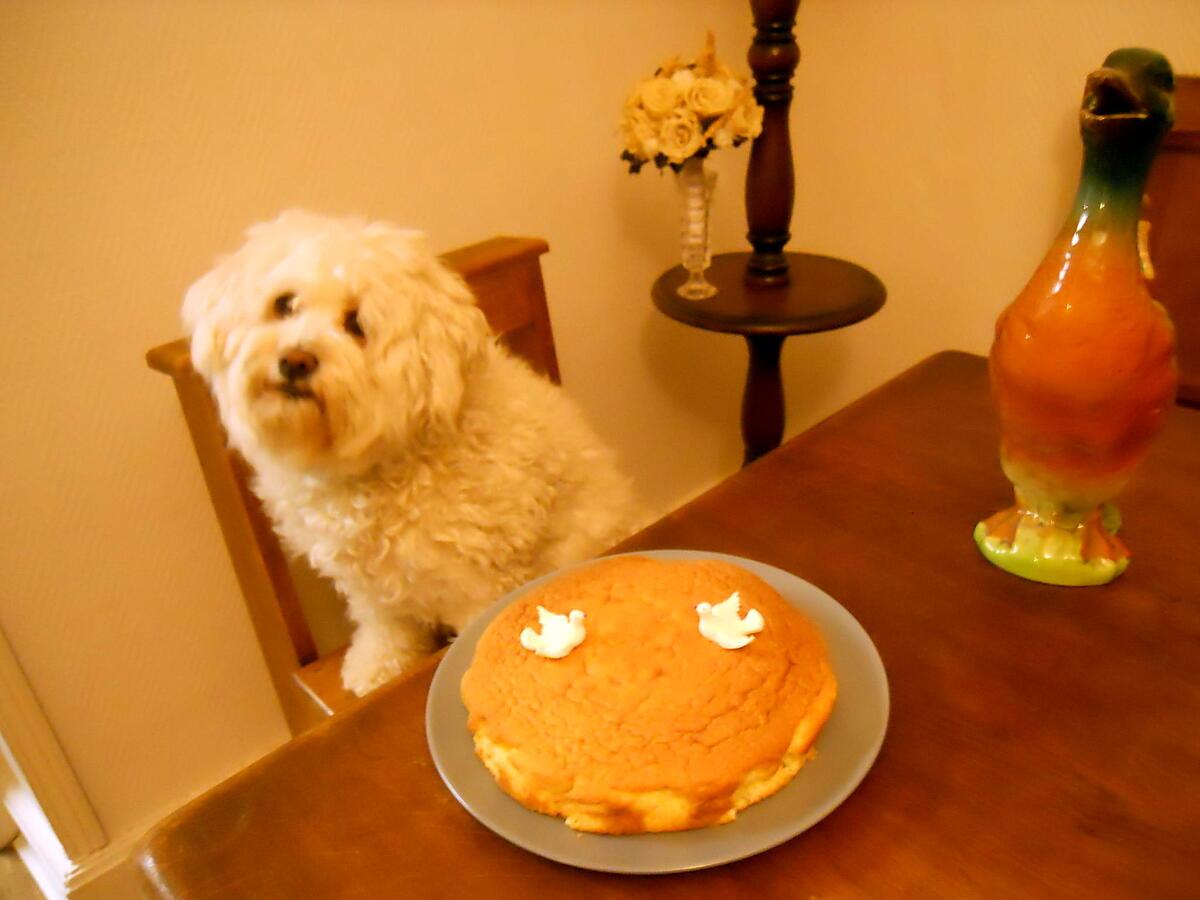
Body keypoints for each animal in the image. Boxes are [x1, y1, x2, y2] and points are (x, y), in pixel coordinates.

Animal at [182, 211, 643, 696]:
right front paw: (376, 665)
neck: (383, 465)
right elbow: (385, 626)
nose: (295, 360)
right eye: (284, 304)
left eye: (356, 324)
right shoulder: (367, 584)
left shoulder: (477, 581)